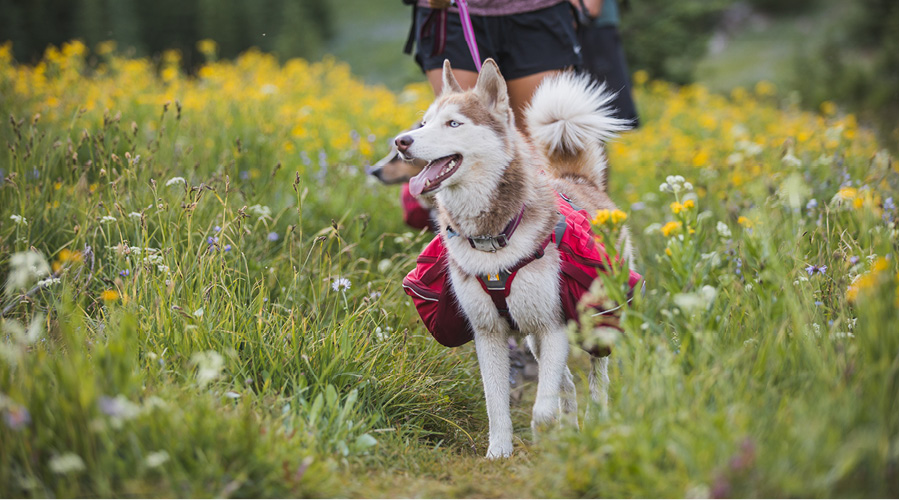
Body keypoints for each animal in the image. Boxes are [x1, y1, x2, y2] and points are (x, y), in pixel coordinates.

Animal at [394, 60, 632, 458]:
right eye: (424, 122)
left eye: (453, 123)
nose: (401, 141)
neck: (493, 239)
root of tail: (578, 180)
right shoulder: (489, 333)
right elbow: (497, 403)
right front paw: (499, 452)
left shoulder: (552, 326)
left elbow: (542, 409)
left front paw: (543, 435)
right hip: (535, 335)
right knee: (567, 381)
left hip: (592, 321)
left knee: (597, 375)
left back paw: (597, 419)